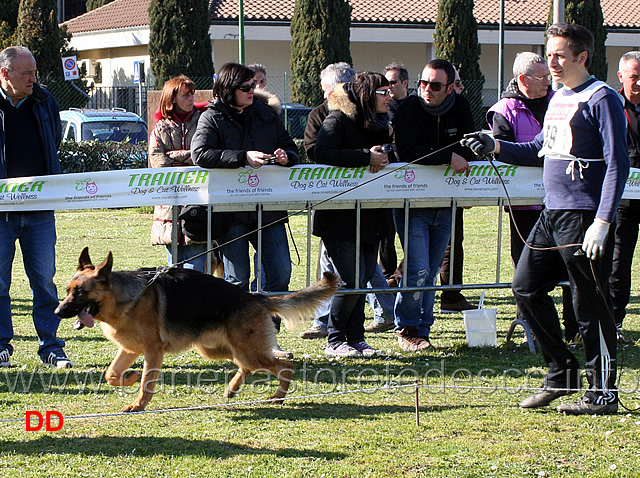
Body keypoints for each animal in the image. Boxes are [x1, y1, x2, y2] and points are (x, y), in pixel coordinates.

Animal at [55, 248, 338, 412]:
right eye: (68, 290)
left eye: (80, 293)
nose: (57, 312)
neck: (123, 298)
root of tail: (254, 297)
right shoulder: (129, 349)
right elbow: (111, 375)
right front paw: (130, 377)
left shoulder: (152, 351)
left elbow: (147, 382)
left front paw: (138, 403)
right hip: (216, 349)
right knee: (245, 366)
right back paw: (232, 389)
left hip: (246, 350)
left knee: (285, 367)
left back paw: (278, 398)